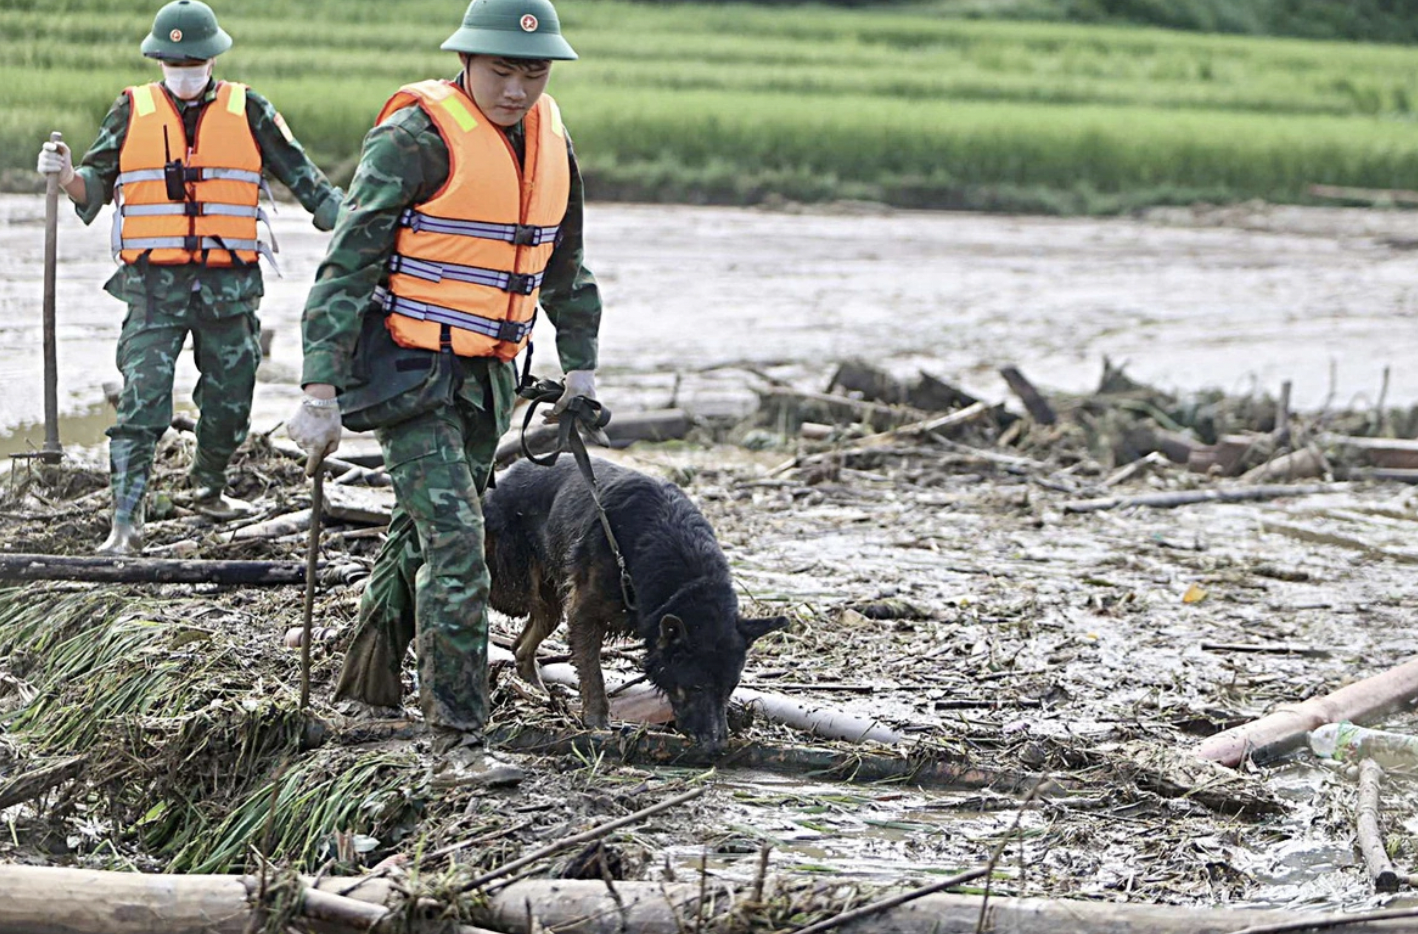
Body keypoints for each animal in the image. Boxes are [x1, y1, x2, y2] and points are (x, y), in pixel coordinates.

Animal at [482, 456, 782, 754]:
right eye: (697, 687)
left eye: (730, 688)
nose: (717, 746)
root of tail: (505, 477)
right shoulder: (584, 613)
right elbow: (593, 675)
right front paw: (597, 722)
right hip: (513, 590)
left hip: (548, 601)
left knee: (522, 645)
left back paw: (536, 690)